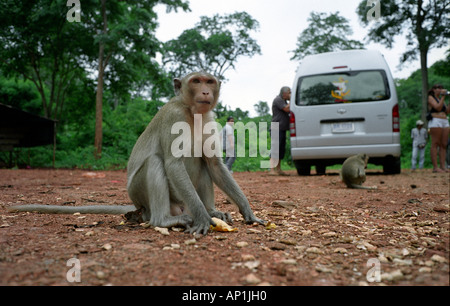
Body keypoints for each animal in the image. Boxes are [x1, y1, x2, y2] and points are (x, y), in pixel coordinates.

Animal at [7, 71, 264, 234]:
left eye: (209, 81)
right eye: (196, 81)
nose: (205, 92)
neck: (192, 112)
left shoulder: (210, 119)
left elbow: (214, 165)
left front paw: (246, 210)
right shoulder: (174, 117)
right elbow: (173, 164)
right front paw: (203, 218)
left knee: (201, 164)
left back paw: (211, 210)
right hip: (140, 194)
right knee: (155, 163)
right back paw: (167, 220)